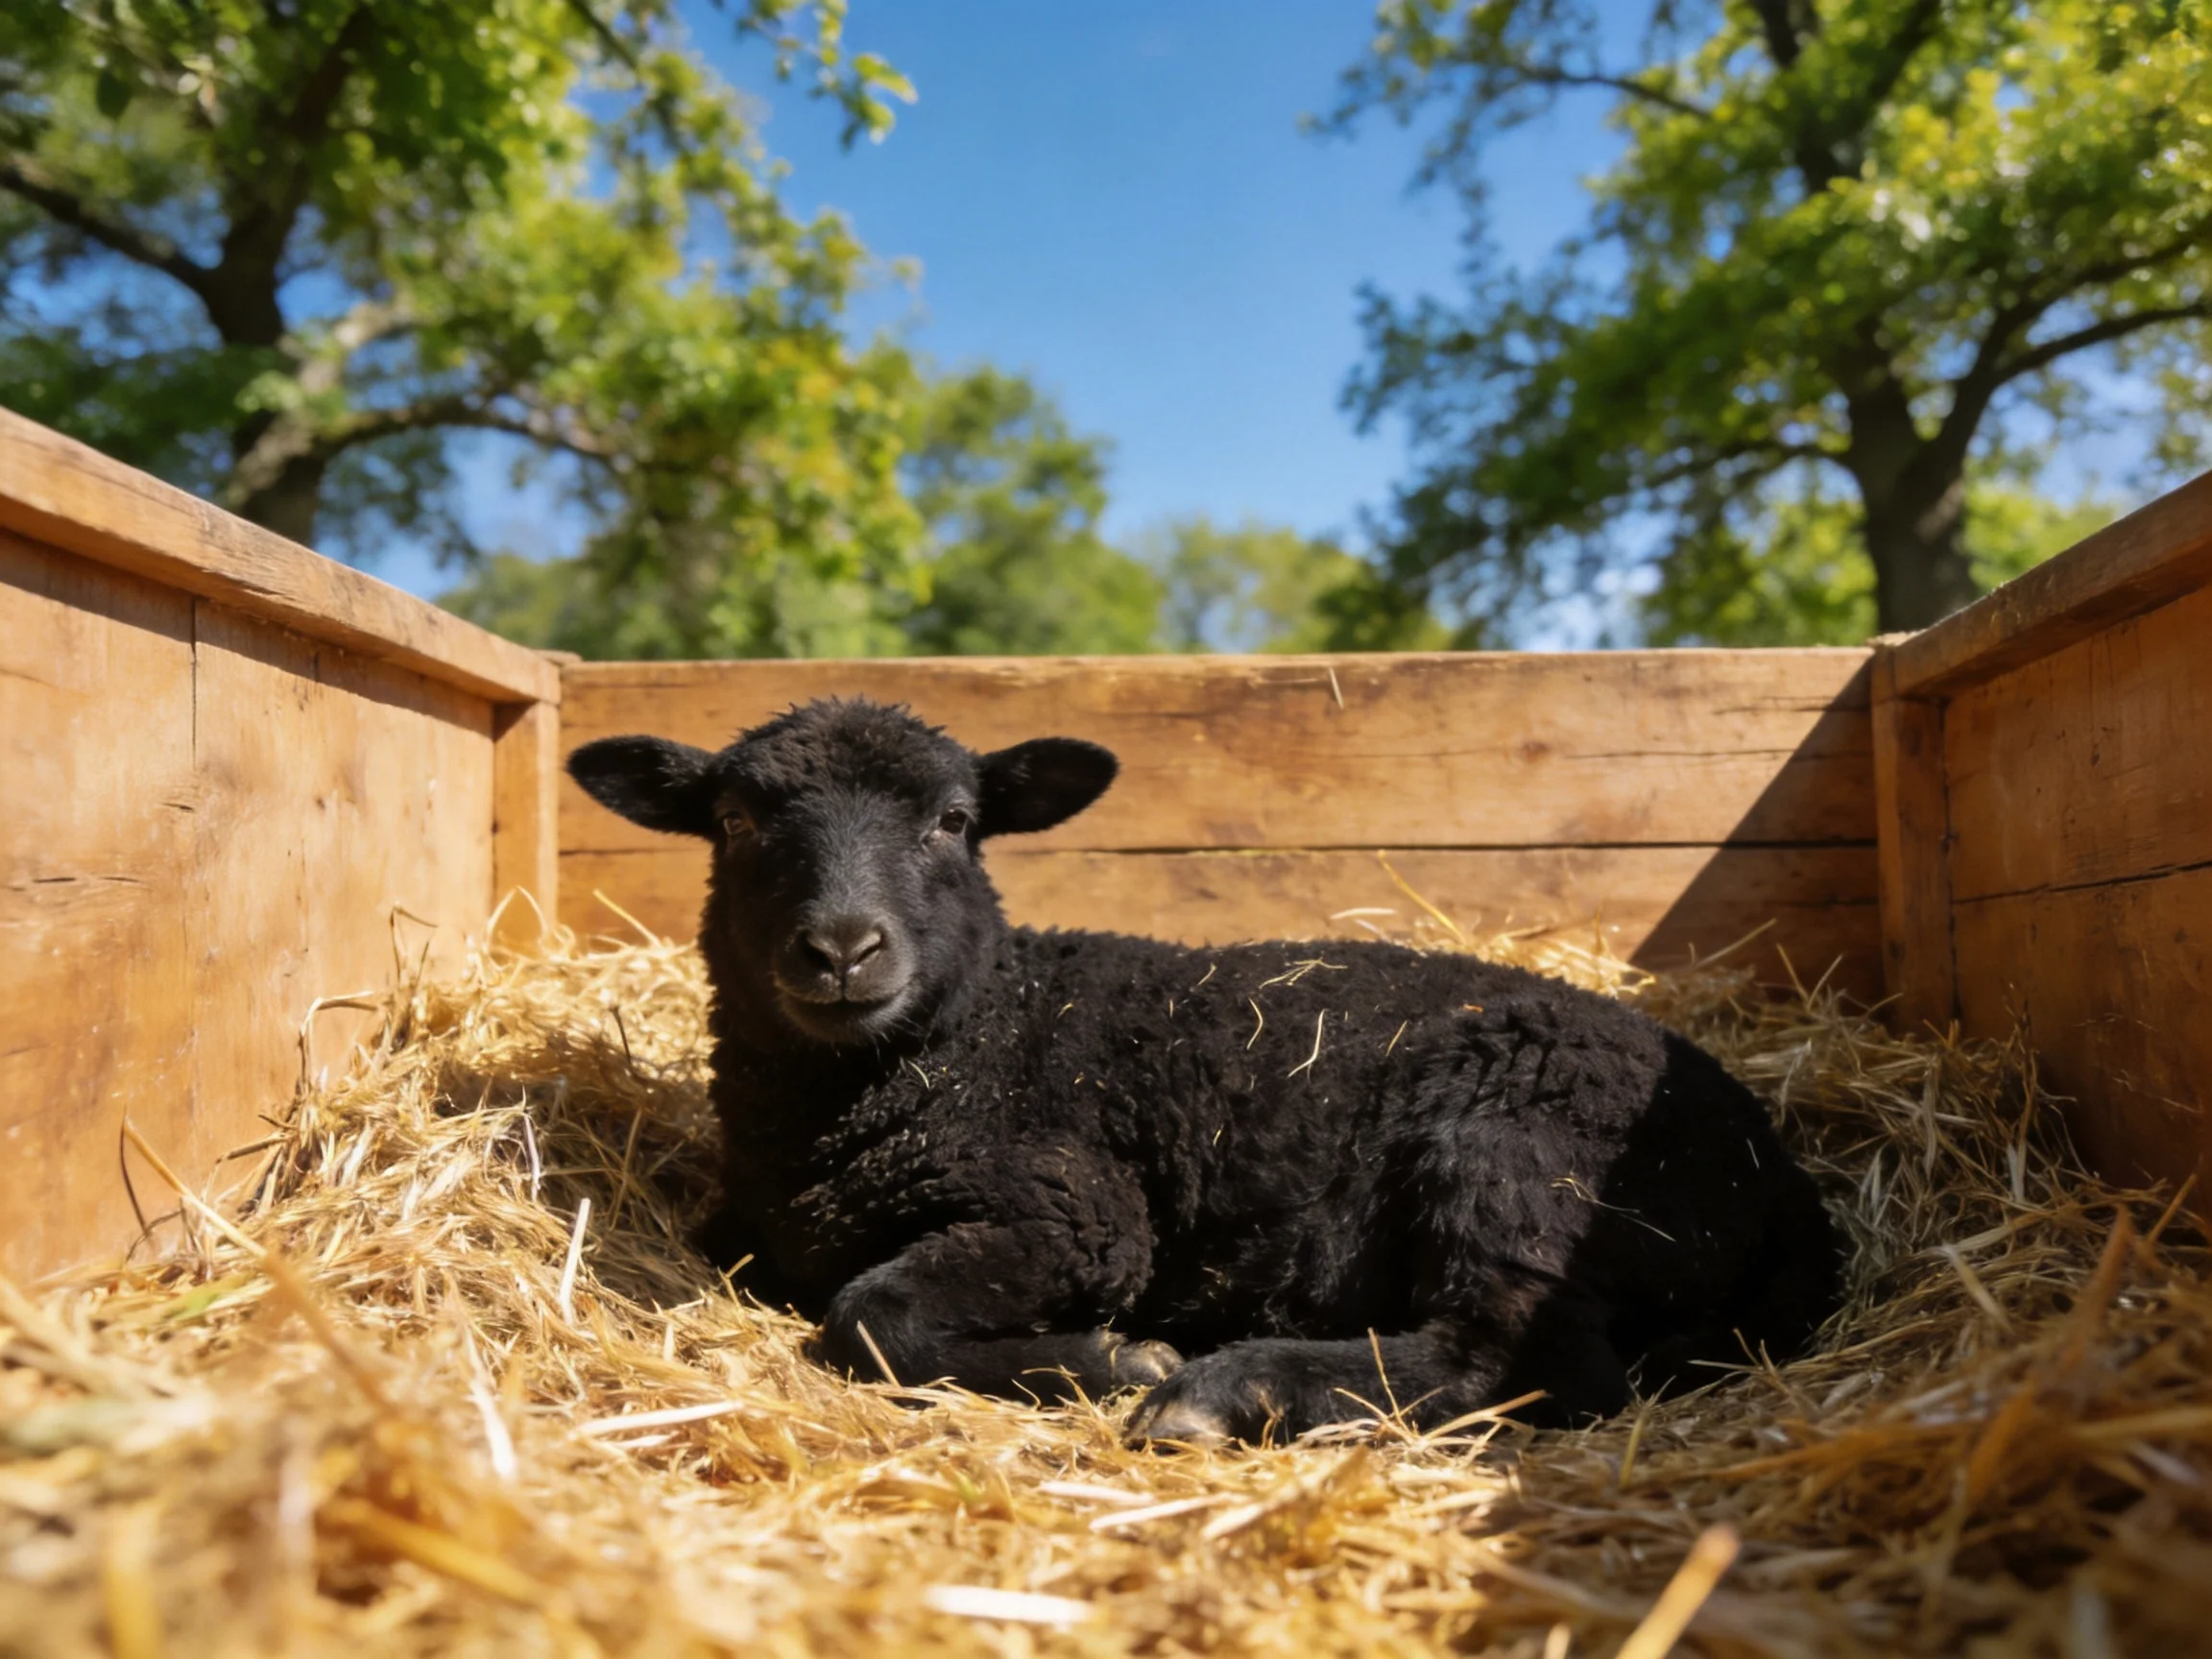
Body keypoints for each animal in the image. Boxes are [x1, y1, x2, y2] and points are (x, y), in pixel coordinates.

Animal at [567, 698, 1845, 1444]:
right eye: (734, 820)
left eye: (954, 819)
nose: (840, 948)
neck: (972, 1041)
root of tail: (1783, 1175)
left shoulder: (1075, 1211)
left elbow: (867, 1316)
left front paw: (1106, 1358)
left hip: (1520, 1143)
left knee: (1527, 1360)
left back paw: (1228, 1392)